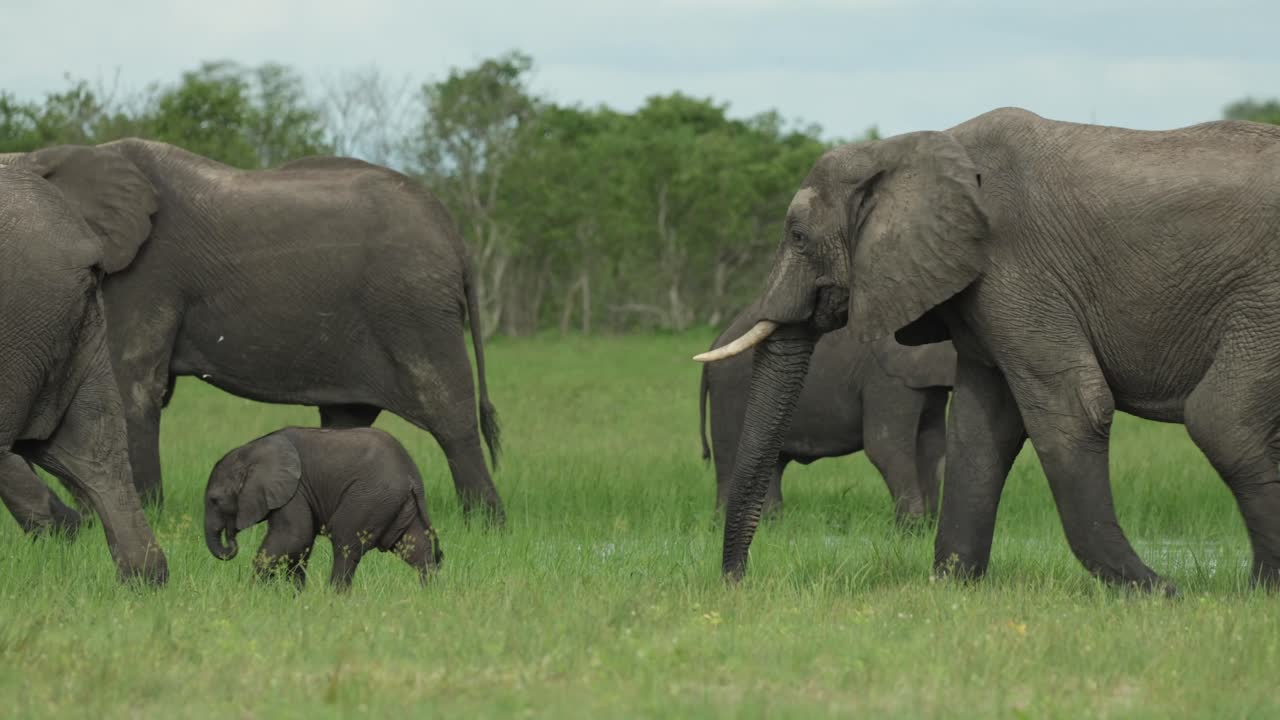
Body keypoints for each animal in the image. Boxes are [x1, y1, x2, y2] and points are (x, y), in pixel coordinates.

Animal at [0, 140, 505, 533]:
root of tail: (456, 237)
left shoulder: (146, 274)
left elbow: (132, 387)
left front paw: (137, 513)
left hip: (414, 308)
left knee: (450, 415)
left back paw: (485, 526)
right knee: (348, 420)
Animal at [205, 427, 443, 591]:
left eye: (215, 500)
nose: (231, 536)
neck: (249, 452)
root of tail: (412, 474)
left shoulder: (296, 490)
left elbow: (294, 537)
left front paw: (253, 593)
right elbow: (301, 545)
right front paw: (293, 596)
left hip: (370, 498)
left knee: (345, 545)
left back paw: (335, 598)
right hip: (398, 505)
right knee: (417, 549)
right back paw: (428, 596)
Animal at [699, 301, 954, 524]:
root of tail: (716, 342)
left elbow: (933, 447)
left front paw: (927, 529)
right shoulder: (885, 378)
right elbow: (885, 448)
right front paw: (911, 529)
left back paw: (772, 526)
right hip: (729, 393)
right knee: (732, 457)